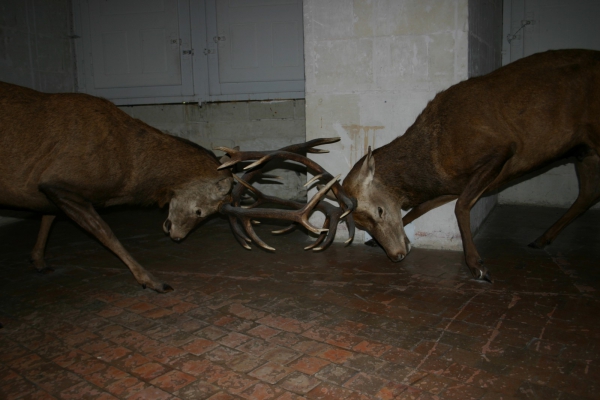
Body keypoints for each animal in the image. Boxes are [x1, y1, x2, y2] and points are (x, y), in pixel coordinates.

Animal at [342, 49, 600, 282]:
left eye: (379, 210)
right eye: (360, 224)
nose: (396, 255)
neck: (435, 161)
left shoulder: (501, 149)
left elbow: (460, 208)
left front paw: (478, 266)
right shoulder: (454, 185)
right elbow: (421, 208)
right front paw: (374, 241)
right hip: (586, 153)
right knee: (588, 194)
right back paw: (541, 239)